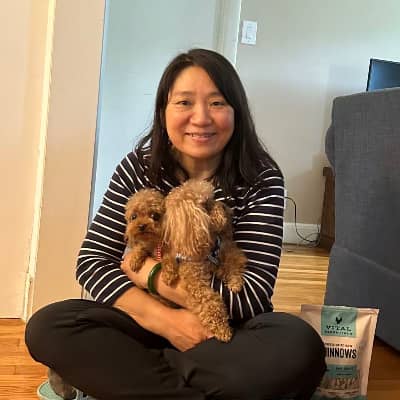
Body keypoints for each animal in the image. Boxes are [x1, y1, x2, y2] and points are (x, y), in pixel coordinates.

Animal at [161, 179, 247, 342]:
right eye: (206, 204)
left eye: (213, 197)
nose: (224, 207)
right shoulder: (196, 283)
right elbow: (210, 302)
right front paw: (222, 330)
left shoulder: (224, 252)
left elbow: (231, 263)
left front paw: (235, 281)